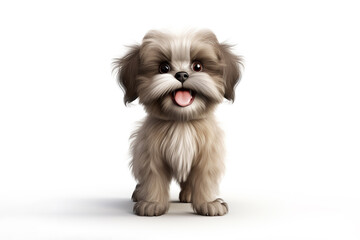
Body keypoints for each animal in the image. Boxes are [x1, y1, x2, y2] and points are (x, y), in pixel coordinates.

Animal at [114, 29, 243, 217]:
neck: (181, 122)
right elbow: (153, 177)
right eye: (164, 68)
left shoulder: (207, 154)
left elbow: (205, 177)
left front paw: (208, 203)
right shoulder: (150, 153)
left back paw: (189, 194)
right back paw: (140, 193)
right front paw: (152, 203)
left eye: (198, 66)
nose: (182, 74)